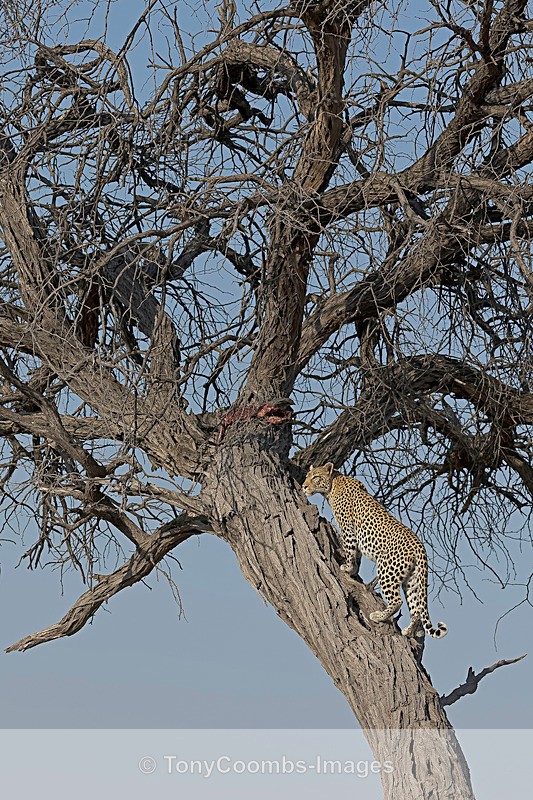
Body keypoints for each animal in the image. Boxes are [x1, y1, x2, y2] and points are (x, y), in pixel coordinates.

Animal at [302, 463, 448, 639]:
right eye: (307, 476)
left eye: (316, 477)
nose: (304, 486)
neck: (333, 485)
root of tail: (420, 545)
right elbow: (357, 554)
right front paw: (353, 569)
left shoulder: (348, 528)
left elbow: (350, 549)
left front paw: (347, 568)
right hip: (412, 580)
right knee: (417, 608)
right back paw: (408, 631)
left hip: (388, 570)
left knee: (397, 601)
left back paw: (379, 616)